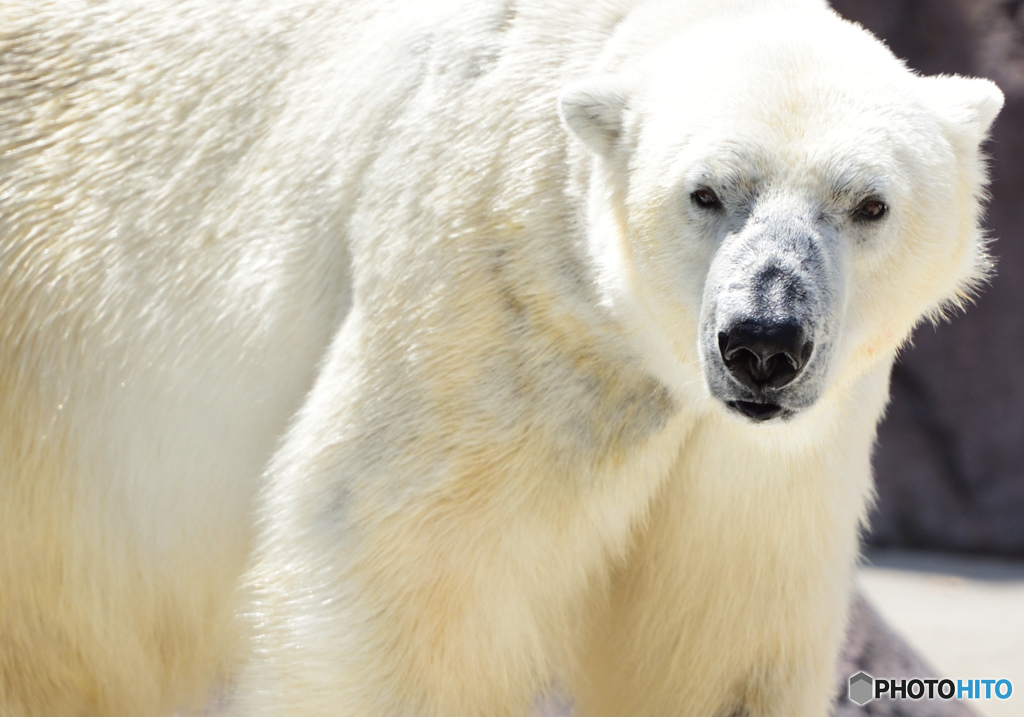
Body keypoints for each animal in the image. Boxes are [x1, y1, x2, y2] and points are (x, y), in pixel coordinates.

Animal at [0, 1, 999, 717]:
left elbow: (719, 634)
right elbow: (401, 570)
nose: (763, 341)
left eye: (868, 203)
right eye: (707, 192)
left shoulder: (768, 454)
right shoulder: (496, 304)